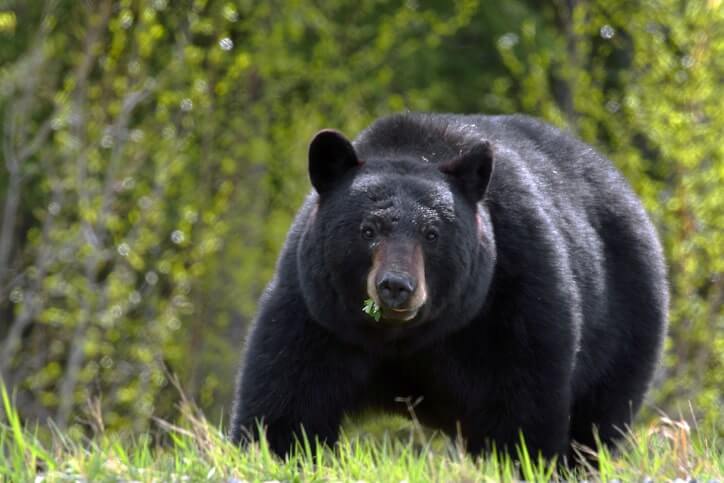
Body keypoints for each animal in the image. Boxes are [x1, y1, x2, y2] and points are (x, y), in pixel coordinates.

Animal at [232, 111, 668, 464]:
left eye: (432, 234)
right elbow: (289, 401)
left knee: (595, 425)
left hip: (625, 327)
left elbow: (520, 405)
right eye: (368, 230)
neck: (401, 338)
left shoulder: (512, 298)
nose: (396, 287)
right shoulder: (317, 311)